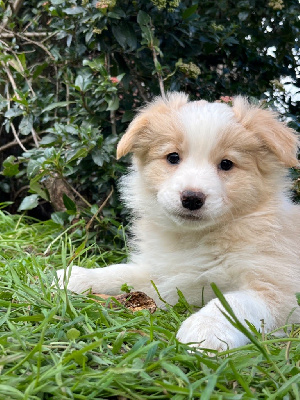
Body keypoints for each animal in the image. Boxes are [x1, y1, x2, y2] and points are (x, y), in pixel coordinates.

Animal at [56, 94, 300, 350]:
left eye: (226, 164)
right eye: (173, 157)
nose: (192, 198)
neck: (194, 239)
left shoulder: (279, 290)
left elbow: (233, 302)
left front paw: (204, 330)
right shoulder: (159, 272)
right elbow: (120, 272)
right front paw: (75, 276)